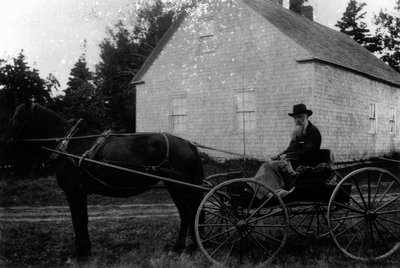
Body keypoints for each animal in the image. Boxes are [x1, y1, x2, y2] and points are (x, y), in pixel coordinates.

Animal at [1, 102, 205, 262]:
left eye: (17, 117)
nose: (5, 141)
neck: (69, 146)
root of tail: (187, 144)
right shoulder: (80, 192)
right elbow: (83, 219)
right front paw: (85, 250)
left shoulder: (73, 191)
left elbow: (77, 220)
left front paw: (78, 253)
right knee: (192, 212)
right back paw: (193, 245)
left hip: (176, 187)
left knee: (187, 214)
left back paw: (179, 248)